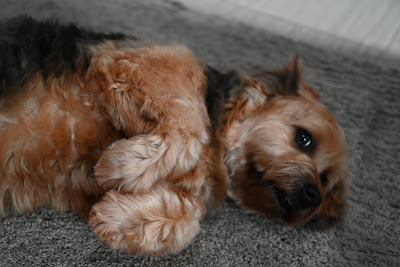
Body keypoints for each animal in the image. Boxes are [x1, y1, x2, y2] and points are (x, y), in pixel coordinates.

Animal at [0, 16, 346, 255]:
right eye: (304, 139)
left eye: (325, 180)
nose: (313, 196)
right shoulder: (137, 63)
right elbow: (190, 126)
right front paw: (127, 163)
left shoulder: (84, 187)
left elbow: (192, 216)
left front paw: (120, 218)